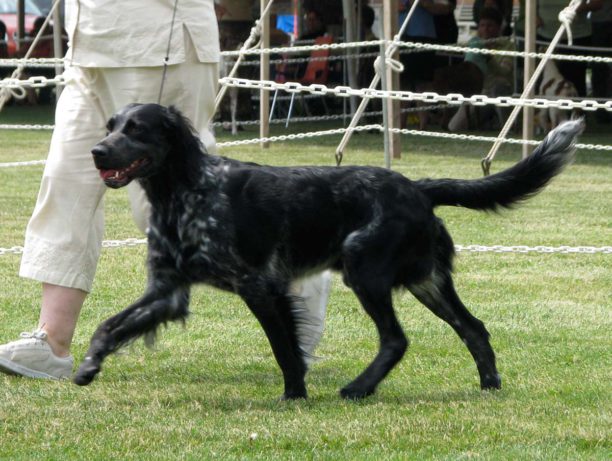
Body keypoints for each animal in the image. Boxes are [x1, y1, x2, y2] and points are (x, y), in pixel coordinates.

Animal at [75, 102, 584, 398]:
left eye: (137, 129)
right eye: (110, 126)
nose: (98, 151)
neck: (185, 190)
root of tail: (416, 188)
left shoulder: (259, 286)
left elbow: (285, 349)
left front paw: (294, 396)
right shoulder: (169, 290)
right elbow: (107, 326)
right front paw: (87, 367)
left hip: (365, 269)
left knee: (396, 339)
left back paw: (358, 388)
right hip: (427, 281)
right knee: (474, 329)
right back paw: (489, 387)